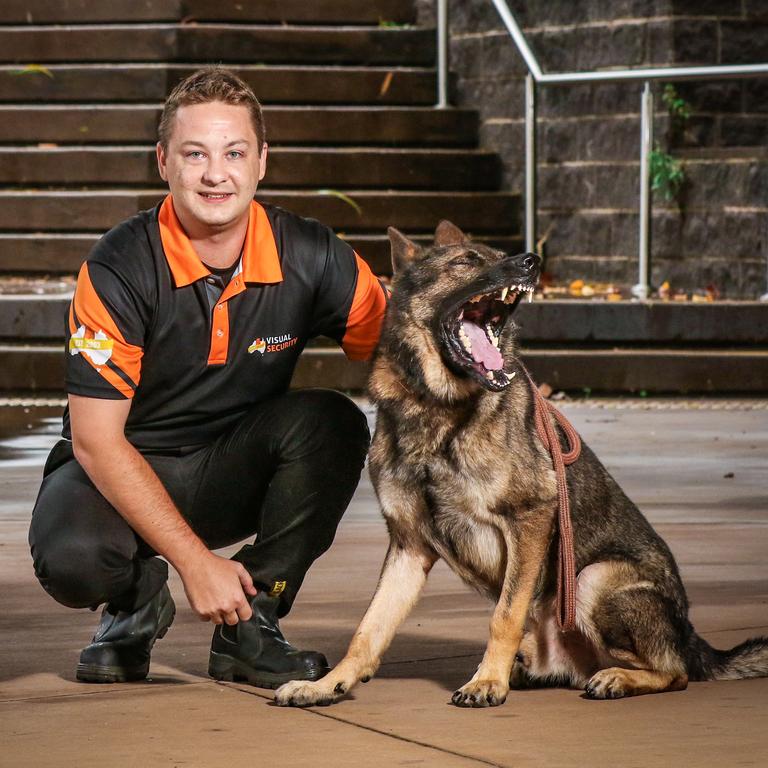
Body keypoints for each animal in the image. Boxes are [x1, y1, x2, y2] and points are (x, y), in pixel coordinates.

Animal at [276, 222, 768, 708]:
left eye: (499, 254)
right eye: (466, 261)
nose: (531, 261)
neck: (438, 408)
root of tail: (690, 636)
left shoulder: (529, 520)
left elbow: (505, 614)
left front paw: (487, 682)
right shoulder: (408, 548)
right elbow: (368, 628)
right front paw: (330, 683)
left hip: (590, 580)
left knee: (676, 671)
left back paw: (617, 678)